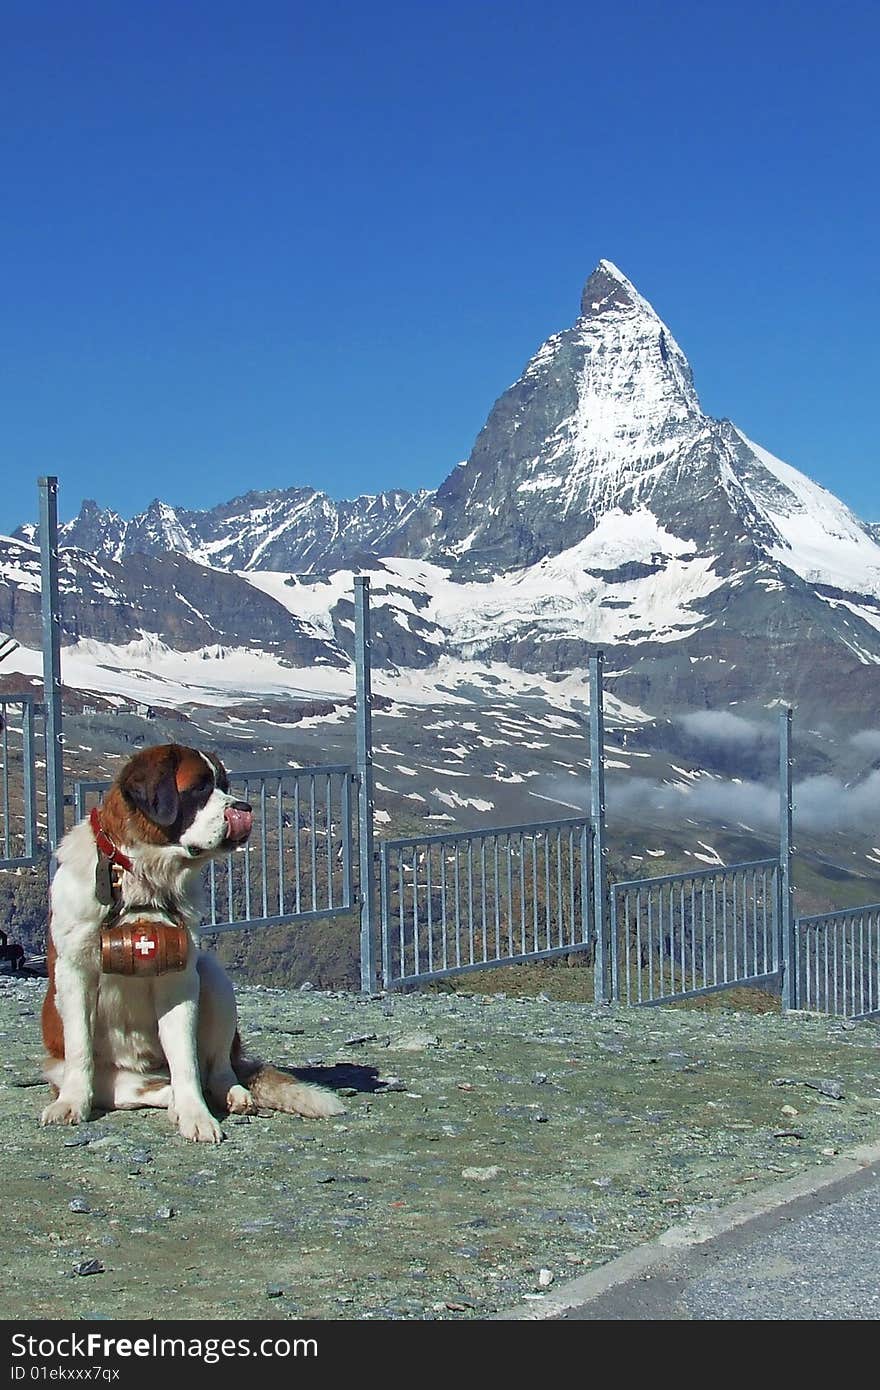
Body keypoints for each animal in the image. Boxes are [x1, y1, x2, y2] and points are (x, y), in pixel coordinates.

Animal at [41, 745, 343, 1145]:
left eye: (225, 785)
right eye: (199, 787)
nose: (244, 807)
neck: (144, 874)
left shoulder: (179, 973)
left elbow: (184, 1055)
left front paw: (195, 1115)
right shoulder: (74, 971)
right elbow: (79, 1047)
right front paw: (71, 1103)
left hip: (212, 976)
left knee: (214, 1069)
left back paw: (231, 1095)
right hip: (104, 1077)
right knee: (139, 1087)